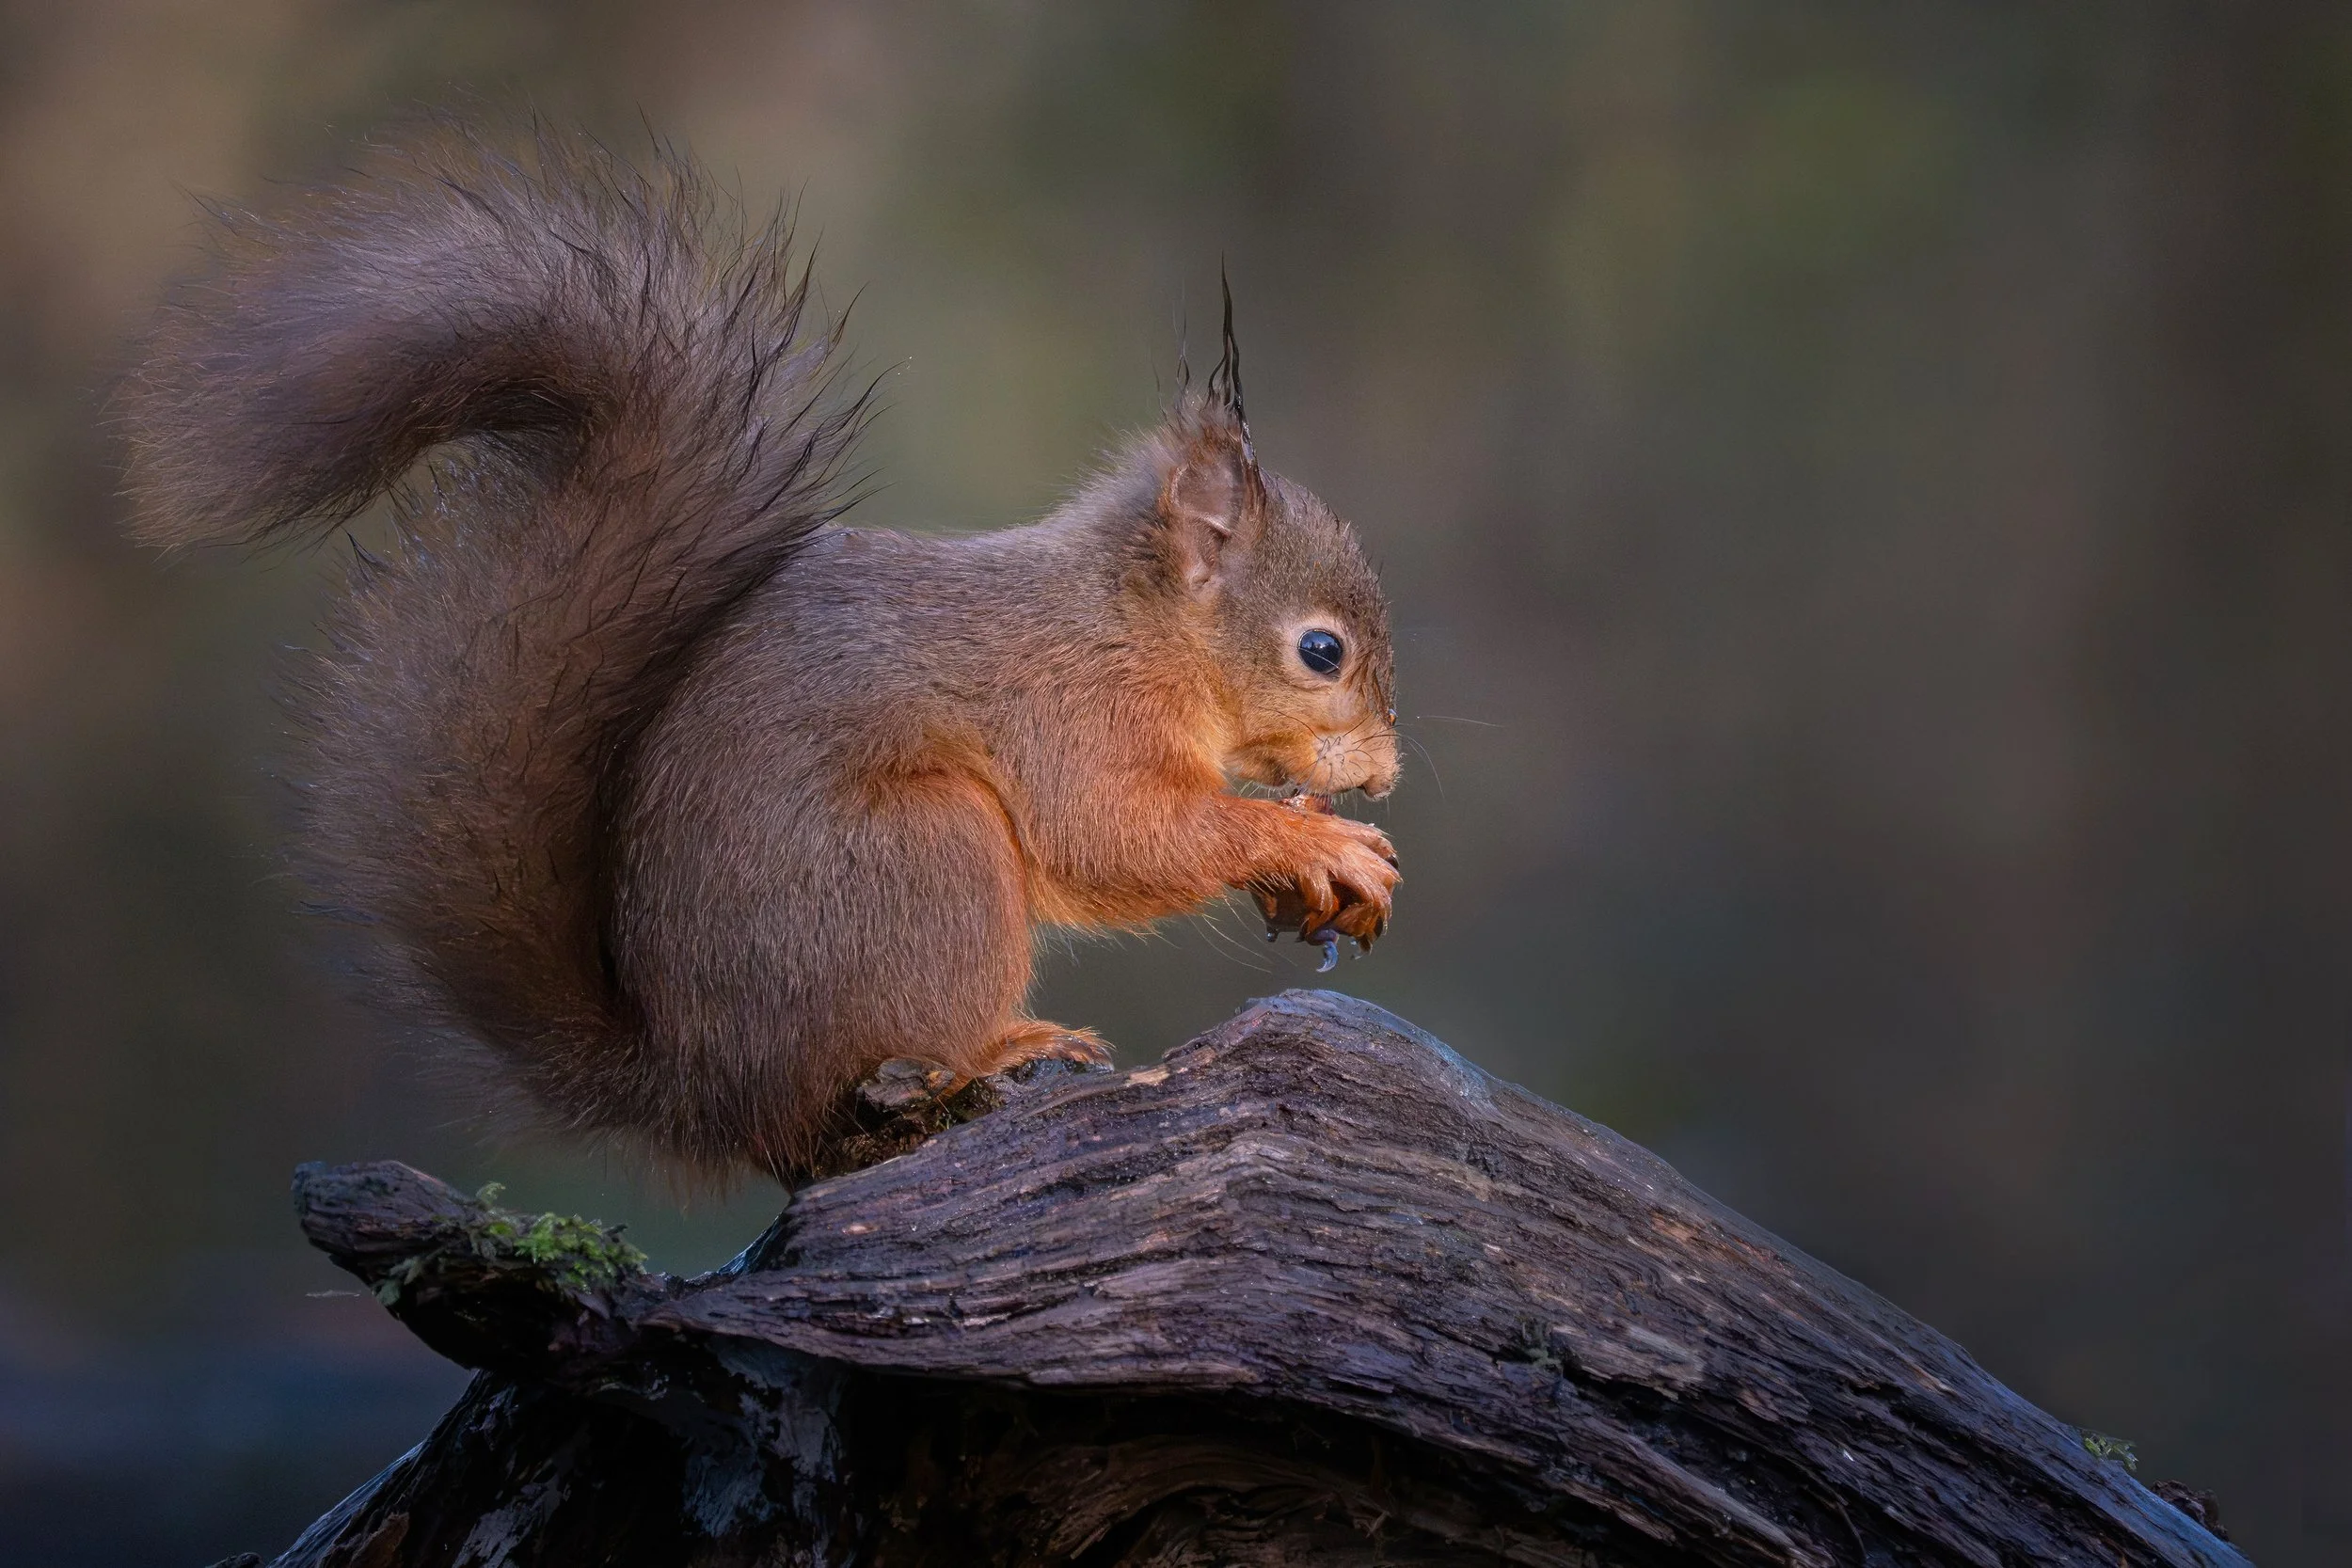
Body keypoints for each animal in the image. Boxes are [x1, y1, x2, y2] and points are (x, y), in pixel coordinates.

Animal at [122, 126, 1401, 1181]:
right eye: (1320, 649)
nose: (1385, 777)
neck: (1132, 623)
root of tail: (702, 1083)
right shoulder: (1072, 709)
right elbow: (1117, 834)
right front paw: (1308, 841)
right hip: (923, 854)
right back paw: (997, 1046)